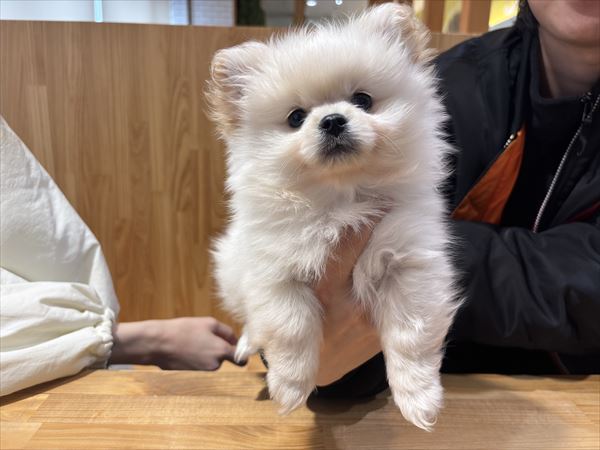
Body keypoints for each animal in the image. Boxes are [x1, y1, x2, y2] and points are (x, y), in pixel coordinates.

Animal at [207, 3, 459, 430]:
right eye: (296, 118)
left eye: (363, 100)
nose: (332, 120)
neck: (341, 202)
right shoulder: (274, 272)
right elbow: (290, 327)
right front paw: (290, 387)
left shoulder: (411, 263)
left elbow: (411, 334)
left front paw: (418, 399)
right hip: (231, 265)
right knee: (252, 320)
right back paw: (248, 342)